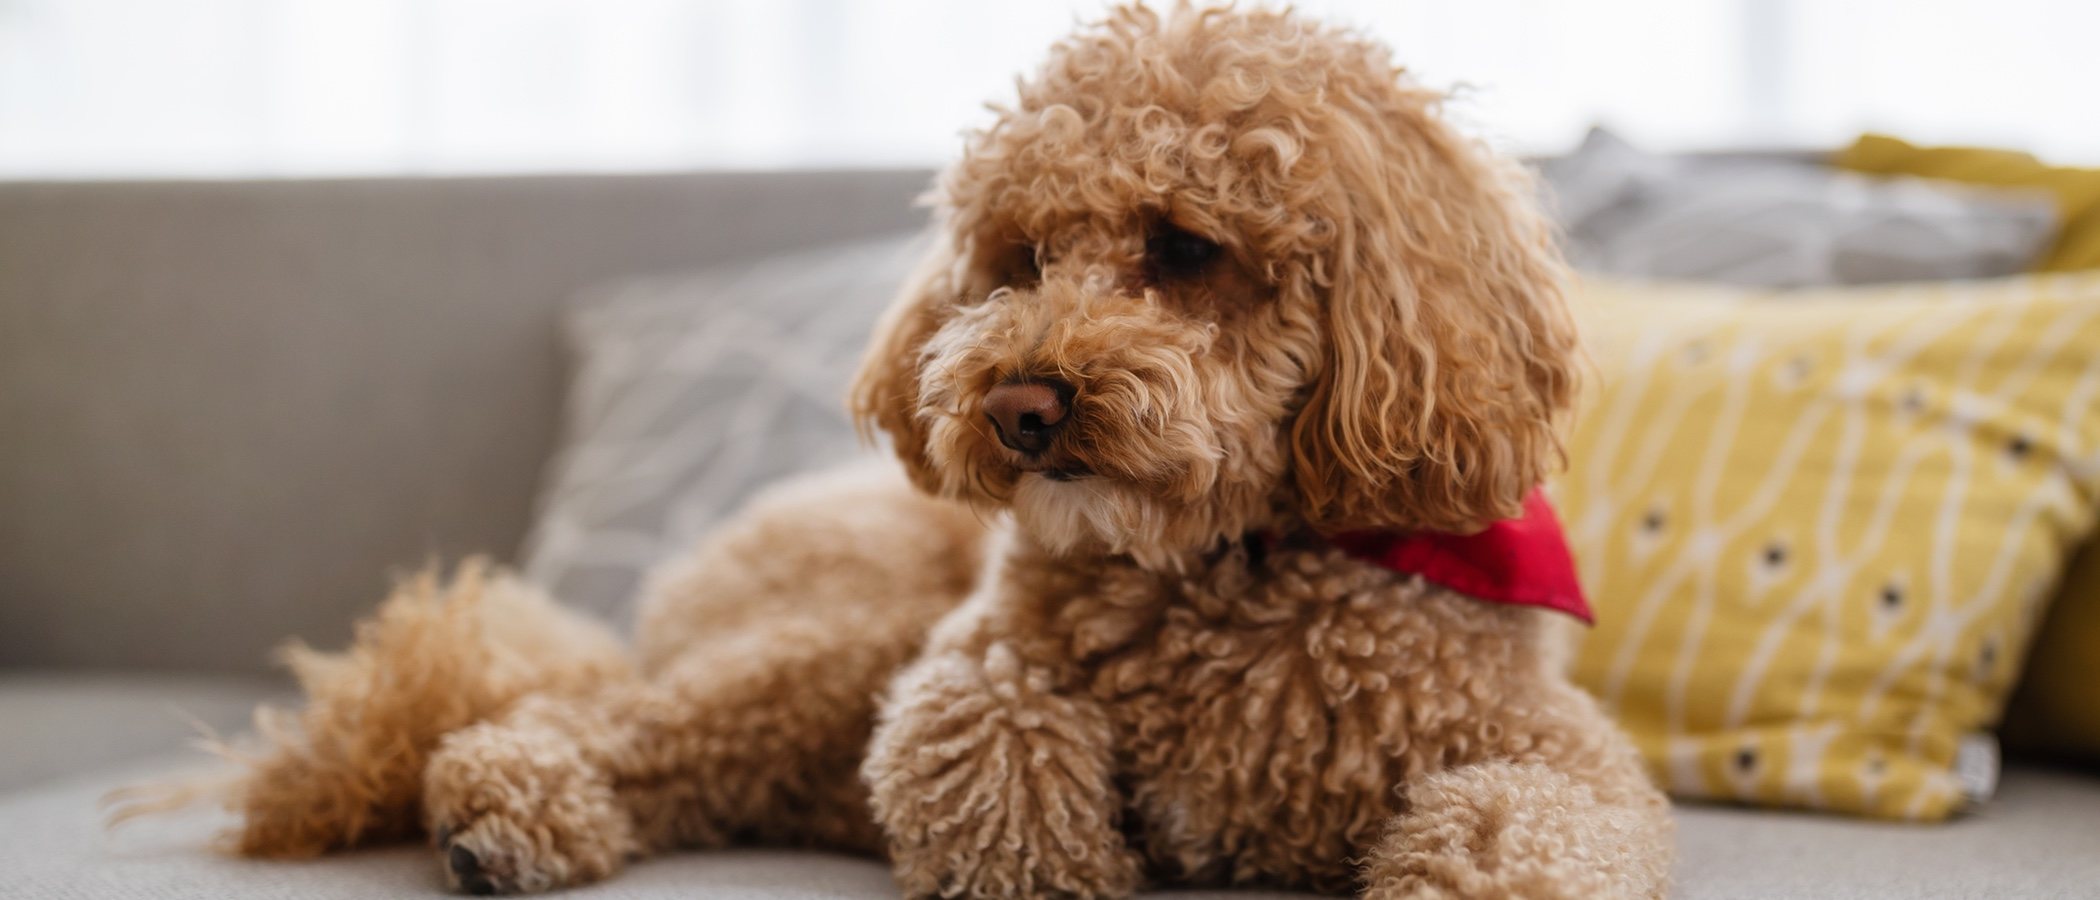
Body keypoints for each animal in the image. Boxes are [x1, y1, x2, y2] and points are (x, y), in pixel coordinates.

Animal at [143, 3, 1671, 893]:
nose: (1019, 403)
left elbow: (1515, 832)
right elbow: (997, 751)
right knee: (597, 720)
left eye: (1185, 248)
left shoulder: (1555, 755)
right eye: (1020, 257)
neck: (1227, 569)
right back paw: (506, 807)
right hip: (828, 637)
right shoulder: (968, 665)